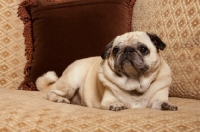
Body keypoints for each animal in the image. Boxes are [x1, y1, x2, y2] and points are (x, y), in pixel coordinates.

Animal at [36, 31, 178, 111]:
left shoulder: (157, 98)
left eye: (143, 49)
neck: (135, 83)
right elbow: (112, 102)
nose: (127, 50)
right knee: (49, 93)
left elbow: (159, 103)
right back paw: (60, 99)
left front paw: (167, 105)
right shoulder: (107, 100)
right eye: (115, 50)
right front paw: (116, 105)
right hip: (70, 84)